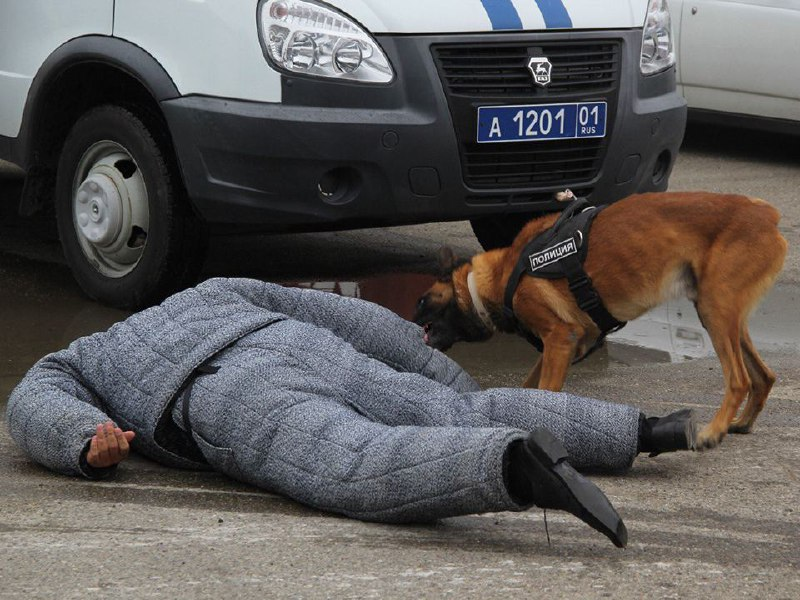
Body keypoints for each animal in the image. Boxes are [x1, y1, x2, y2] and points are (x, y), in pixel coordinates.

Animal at [412, 192, 788, 450]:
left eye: (421, 300)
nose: (411, 322)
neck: (501, 276)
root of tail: (765, 213)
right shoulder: (560, 344)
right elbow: (528, 387)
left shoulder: (560, 338)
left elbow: (545, 391)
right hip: (723, 315)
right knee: (764, 375)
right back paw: (742, 423)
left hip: (715, 310)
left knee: (739, 379)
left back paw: (714, 430)